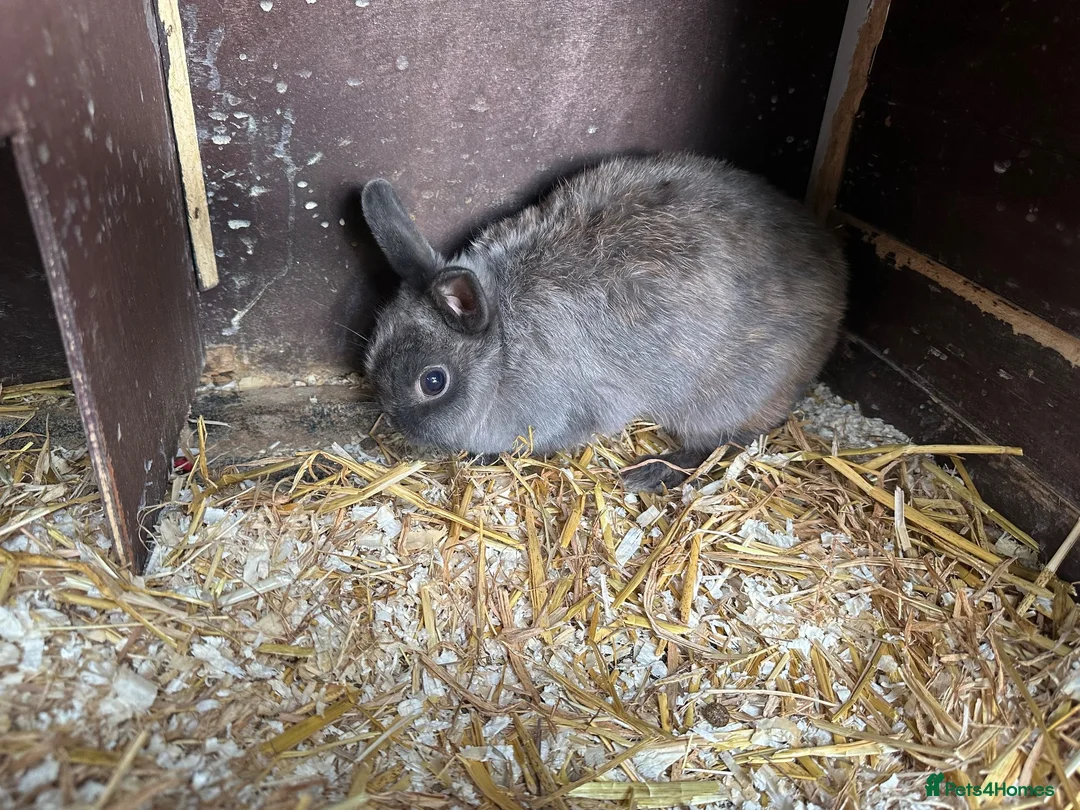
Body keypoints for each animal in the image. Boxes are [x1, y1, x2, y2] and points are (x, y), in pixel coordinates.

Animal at [360, 152, 847, 491]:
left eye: (433, 382)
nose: (397, 425)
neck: (501, 344)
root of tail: (837, 282)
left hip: (724, 400)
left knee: (730, 440)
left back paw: (650, 473)